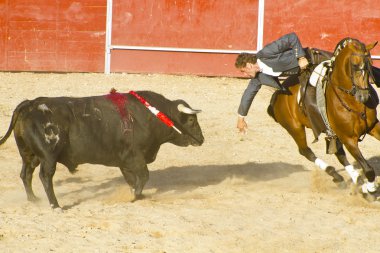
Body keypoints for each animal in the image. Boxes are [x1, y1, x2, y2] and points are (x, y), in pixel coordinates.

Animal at [0, 90, 205, 209]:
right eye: (191, 120)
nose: (202, 140)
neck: (152, 115)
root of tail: (31, 104)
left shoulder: (125, 161)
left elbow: (132, 180)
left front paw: (137, 196)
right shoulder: (135, 157)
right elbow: (144, 177)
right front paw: (134, 197)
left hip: (29, 154)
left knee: (26, 174)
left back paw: (33, 200)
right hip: (48, 156)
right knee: (45, 177)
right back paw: (55, 205)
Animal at [268, 38, 378, 198]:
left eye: (370, 63)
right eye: (354, 65)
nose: (363, 96)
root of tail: (278, 92)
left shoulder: (374, 126)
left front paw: (364, 185)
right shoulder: (348, 138)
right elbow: (368, 169)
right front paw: (370, 189)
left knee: (339, 154)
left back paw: (355, 179)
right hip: (295, 128)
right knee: (306, 151)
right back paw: (338, 176)